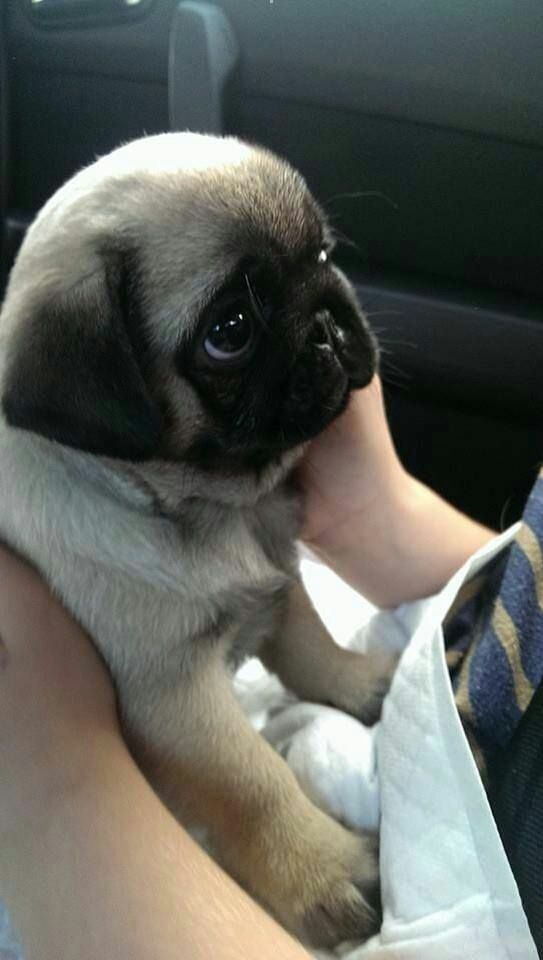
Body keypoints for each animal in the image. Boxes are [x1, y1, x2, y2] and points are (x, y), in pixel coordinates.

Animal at [0, 133, 396, 944]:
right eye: (230, 332)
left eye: (321, 254)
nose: (326, 319)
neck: (216, 509)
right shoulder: (174, 694)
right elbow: (254, 783)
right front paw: (326, 871)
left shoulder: (278, 579)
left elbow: (309, 645)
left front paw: (354, 683)